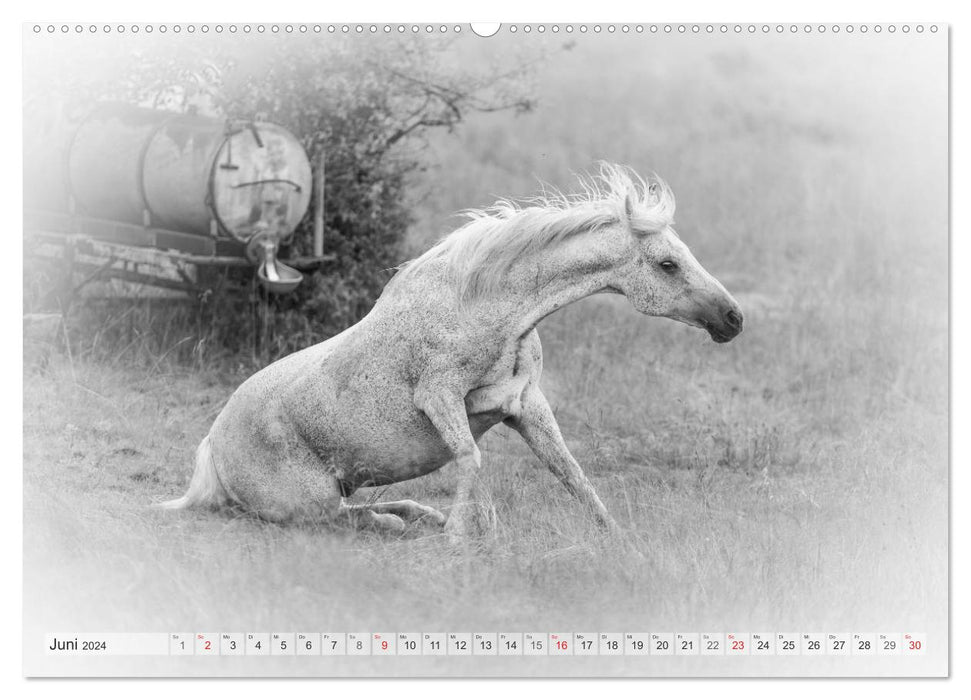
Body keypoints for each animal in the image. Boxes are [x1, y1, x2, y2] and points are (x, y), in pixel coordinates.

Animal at [159, 165, 740, 540]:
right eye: (667, 264)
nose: (733, 318)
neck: (487, 309)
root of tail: (211, 446)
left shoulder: (526, 404)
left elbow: (570, 472)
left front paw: (617, 538)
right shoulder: (439, 398)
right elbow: (470, 460)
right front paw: (463, 537)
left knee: (360, 506)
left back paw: (421, 516)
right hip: (309, 500)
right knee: (340, 517)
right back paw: (401, 523)